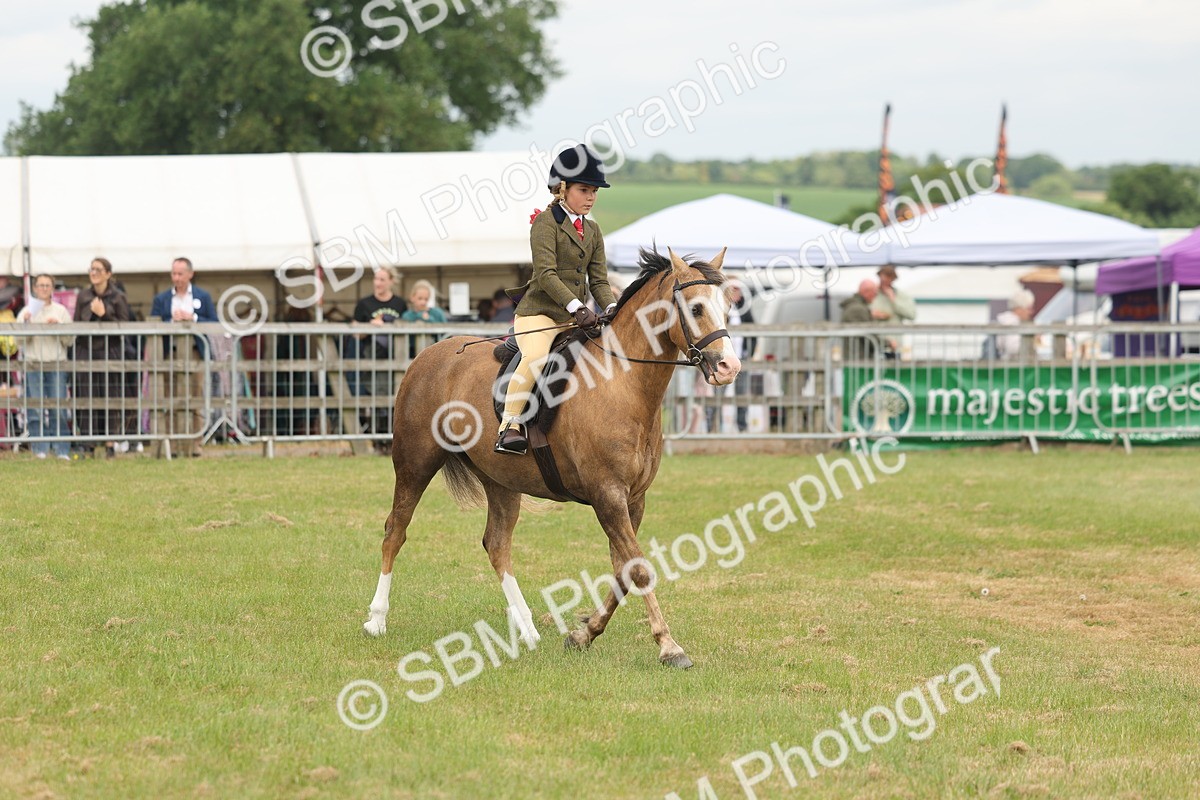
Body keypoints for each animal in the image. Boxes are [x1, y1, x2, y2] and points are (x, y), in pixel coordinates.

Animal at [363, 246, 741, 668]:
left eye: (727, 305)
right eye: (695, 308)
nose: (729, 367)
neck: (622, 382)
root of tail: (427, 354)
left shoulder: (633, 500)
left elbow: (623, 570)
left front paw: (583, 633)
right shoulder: (608, 496)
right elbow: (639, 569)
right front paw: (670, 646)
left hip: (501, 480)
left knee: (497, 545)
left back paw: (528, 630)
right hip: (414, 463)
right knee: (395, 531)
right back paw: (376, 619)